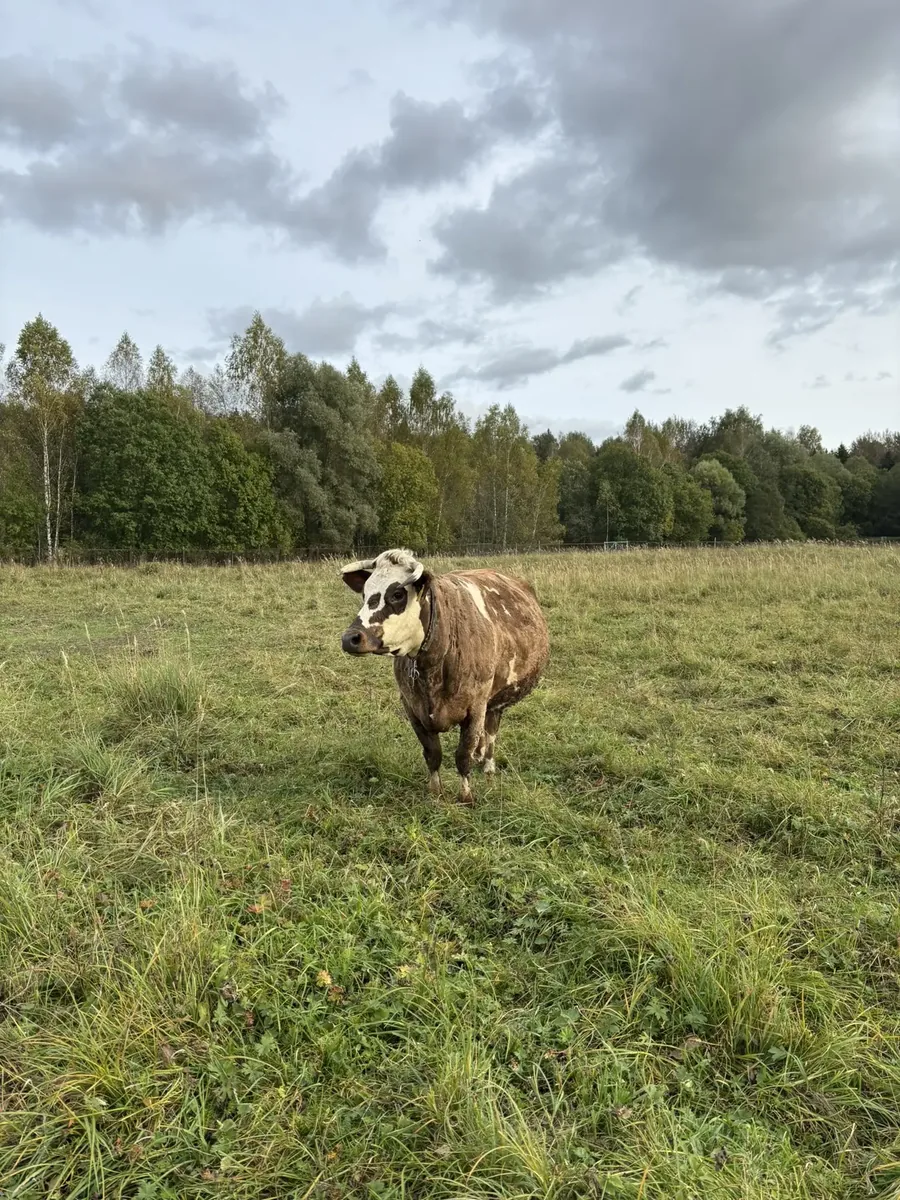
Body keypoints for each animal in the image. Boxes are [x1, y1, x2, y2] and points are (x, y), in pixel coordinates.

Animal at [339, 548, 550, 803]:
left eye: (397, 594)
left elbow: (463, 755)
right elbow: (433, 754)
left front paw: (466, 795)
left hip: (495, 700)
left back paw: (488, 767)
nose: (350, 638)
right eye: (364, 593)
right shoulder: (413, 709)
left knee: (491, 733)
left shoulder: (475, 707)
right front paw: (435, 791)